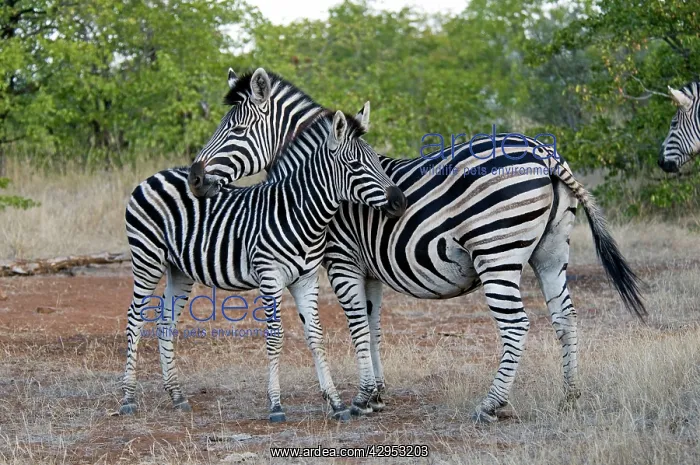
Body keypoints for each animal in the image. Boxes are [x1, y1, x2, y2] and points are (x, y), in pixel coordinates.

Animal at [119, 106, 407, 422]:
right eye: (355, 165)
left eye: (377, 160)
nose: (400, 201)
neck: (300, 214)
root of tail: (153, 176)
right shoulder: (270, 276)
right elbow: (275, 337)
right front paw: (276, 405)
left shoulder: (307, 279)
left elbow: (316, 337)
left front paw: (336, 402)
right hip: (147, 258)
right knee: (134, 318)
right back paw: (128, 399)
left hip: (179, 269)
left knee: (165, 322)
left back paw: (177, 396)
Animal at [190, 69, 646, 423]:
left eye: (235, 130)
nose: (193, 178)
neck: (318, 182)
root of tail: (546, 154)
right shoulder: (369, 269)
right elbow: (372, 325)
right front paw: (377, 395)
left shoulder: (341, 260)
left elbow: (356, 325)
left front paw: (361, 399)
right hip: (551, 253)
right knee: (565, 318)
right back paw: (570, 396)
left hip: (496, 252)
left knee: (516, 324)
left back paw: (491, 405)